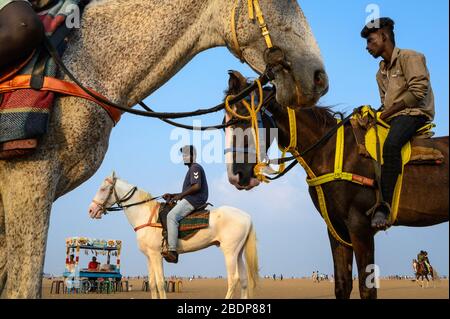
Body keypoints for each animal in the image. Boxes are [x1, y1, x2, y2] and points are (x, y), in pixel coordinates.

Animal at [87, 172, 260, 300]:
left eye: (103, 189)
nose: (91, 210)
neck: (145, 216)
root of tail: (247, 217)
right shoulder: (149, 256)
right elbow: (152, 283)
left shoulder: (156, 255)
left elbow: (160, 283)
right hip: (238, 253)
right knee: (244, 280)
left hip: (229, 252)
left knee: (233, 280)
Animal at [223, 72, 448, 300]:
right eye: (226, 124)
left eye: (244, 119)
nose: (236, 176)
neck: (329, 151)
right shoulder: (336, 228)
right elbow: (342, 284)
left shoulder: (360, 226)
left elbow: (367, 288)